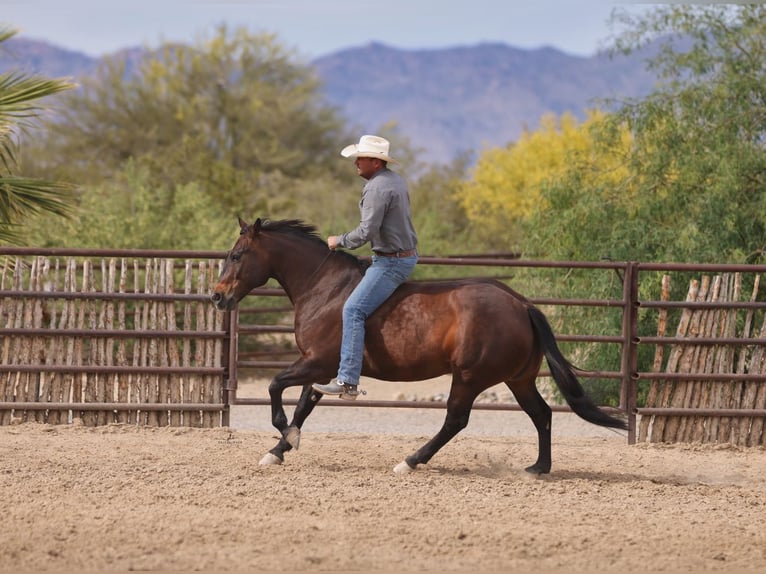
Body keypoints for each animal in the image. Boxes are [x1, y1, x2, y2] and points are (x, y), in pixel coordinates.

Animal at [211, 217, 627, 474]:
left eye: (236, 255)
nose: (217, 297)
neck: (323, 288)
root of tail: (521, 304)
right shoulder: (322, 369)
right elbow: (303, 407)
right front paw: (278, 451)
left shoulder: (316, 363)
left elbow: (275, 387)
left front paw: (285, 436)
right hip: (518, 380)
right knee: (541, 414)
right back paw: (539, 468)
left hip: (470, 377)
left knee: (456, 420)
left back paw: (410, 461)